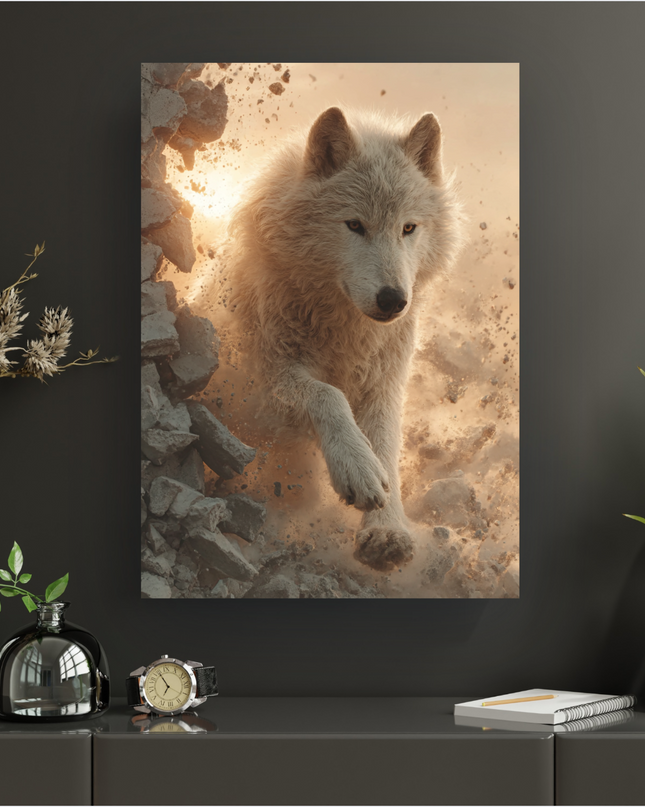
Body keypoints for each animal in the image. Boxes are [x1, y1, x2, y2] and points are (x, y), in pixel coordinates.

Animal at [228, 107, 464, 571]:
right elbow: (327, 395)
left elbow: (386, 445)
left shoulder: (384, 383)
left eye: (408, 228)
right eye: (355, 225)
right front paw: (357, 468)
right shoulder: (266, 381)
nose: (393, 300)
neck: (343, 327)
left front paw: (387, 530)